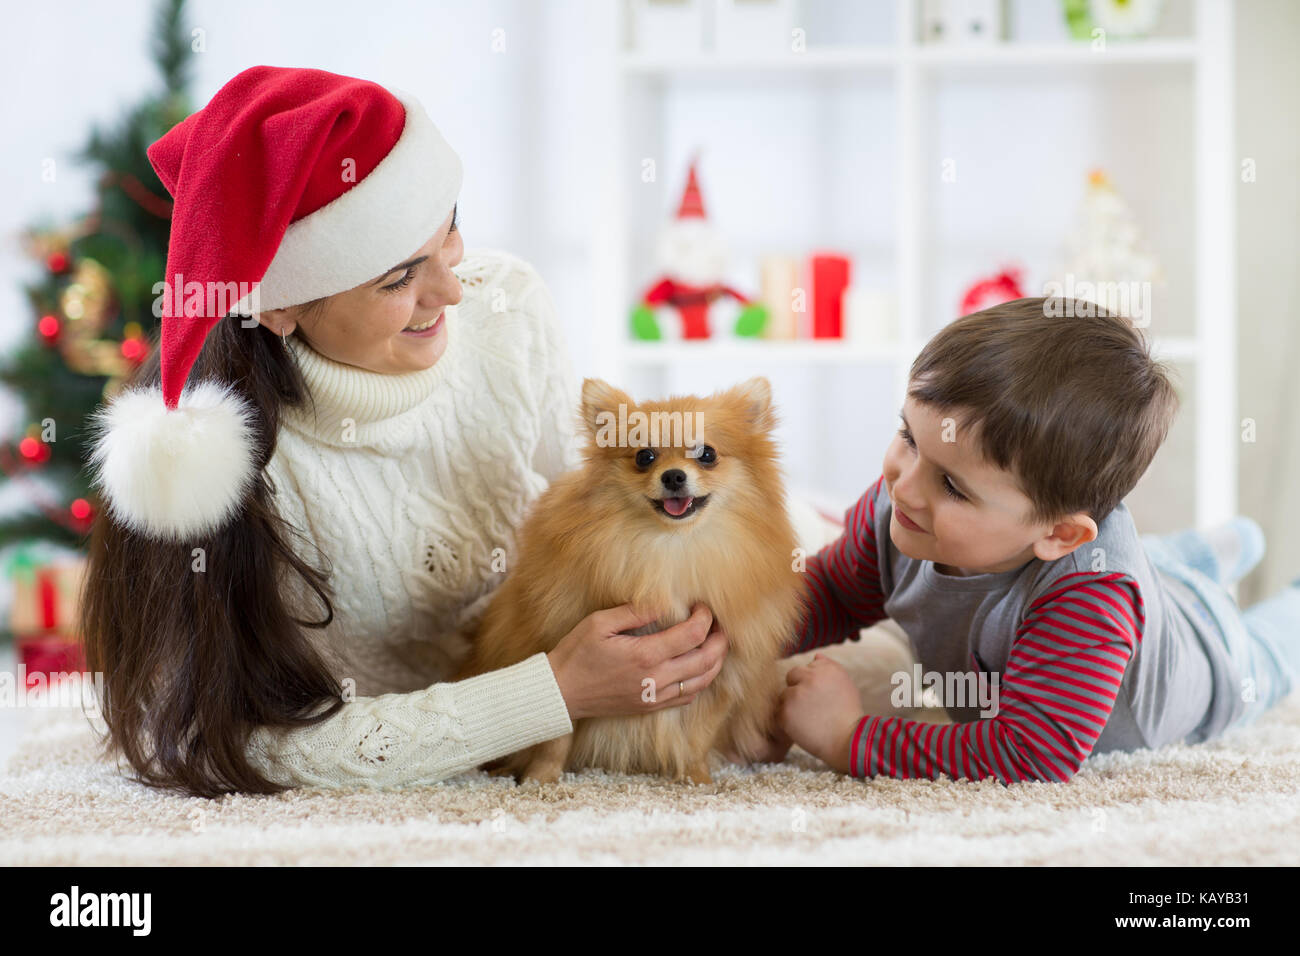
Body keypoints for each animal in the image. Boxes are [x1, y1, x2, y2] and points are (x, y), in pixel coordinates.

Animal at [452, 374, 806, 785]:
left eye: (707, 454)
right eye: (644, 457)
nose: (673, 476)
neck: (671, 548)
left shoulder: (721, 673)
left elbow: (698, 736)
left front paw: (697, 778)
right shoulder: (556, 647)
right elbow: (555, 734)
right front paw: (541, 779)